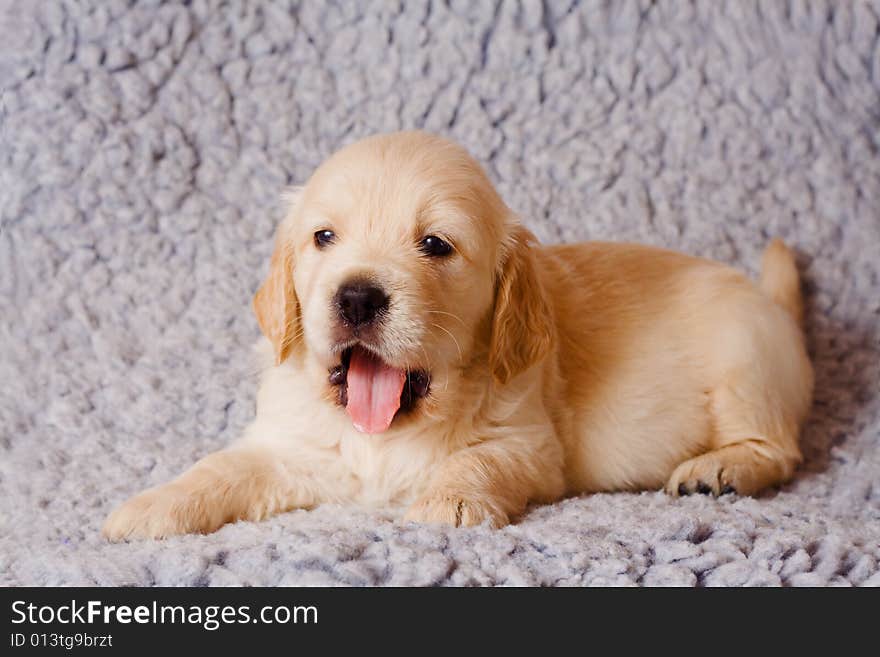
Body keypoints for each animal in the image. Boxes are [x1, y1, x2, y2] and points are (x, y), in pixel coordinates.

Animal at [106, 129, 816, 540]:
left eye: (435, 245)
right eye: (323, 237)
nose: (356, 295)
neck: (388, 430)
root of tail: (774, 304)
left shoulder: (529, 443)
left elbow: (477, 458)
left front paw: (447, 501)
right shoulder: (292, 447)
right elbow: (219, 468)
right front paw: (149, 508)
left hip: (748, 360)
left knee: (779, 448)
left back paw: (720, 468)